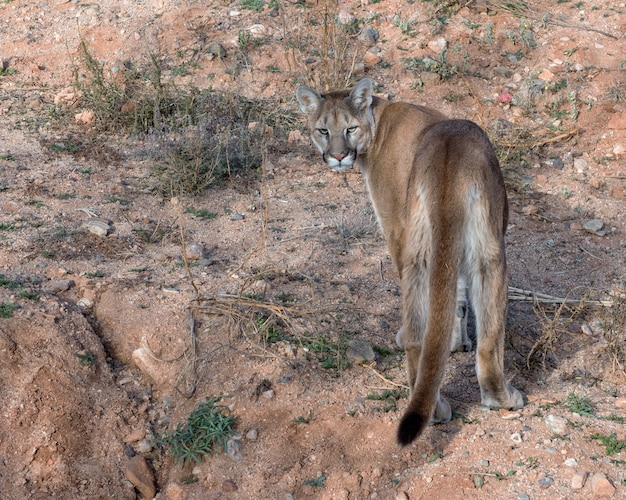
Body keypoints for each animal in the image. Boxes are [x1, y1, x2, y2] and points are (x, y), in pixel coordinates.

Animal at [296, 78, 520, 446]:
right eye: (323, 130)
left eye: (349, 128)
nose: (339, 155)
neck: (378, 120)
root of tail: (450, 155)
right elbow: (454, 299)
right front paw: (456, 343)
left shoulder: (393, 226)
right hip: (488, 247)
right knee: (488, 335)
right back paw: (500, 399)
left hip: (416, 247)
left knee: (418, 336)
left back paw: (436, 408)